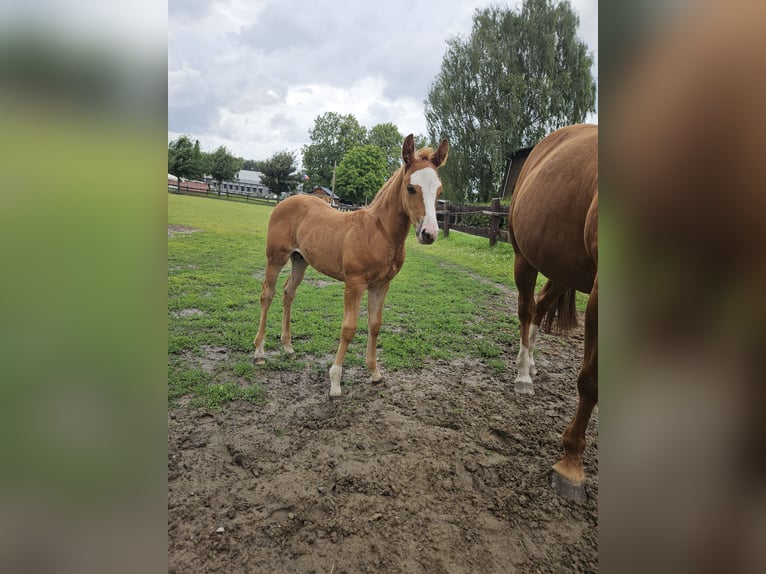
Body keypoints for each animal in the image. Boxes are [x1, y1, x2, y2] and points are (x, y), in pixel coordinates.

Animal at [254, 134, 449, 398]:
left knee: (288, 293)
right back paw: (259, 352)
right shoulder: (354, 284)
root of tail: (286, 201)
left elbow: (374, 325)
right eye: (410, 188)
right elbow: (349, 328)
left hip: (300, 260)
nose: (429, 233)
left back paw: (288, 347)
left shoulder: (381, 285)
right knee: (268, 294)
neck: (380, 233)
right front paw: (335, 381)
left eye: (439, 190)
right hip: (276, 258)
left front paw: (375, 373)